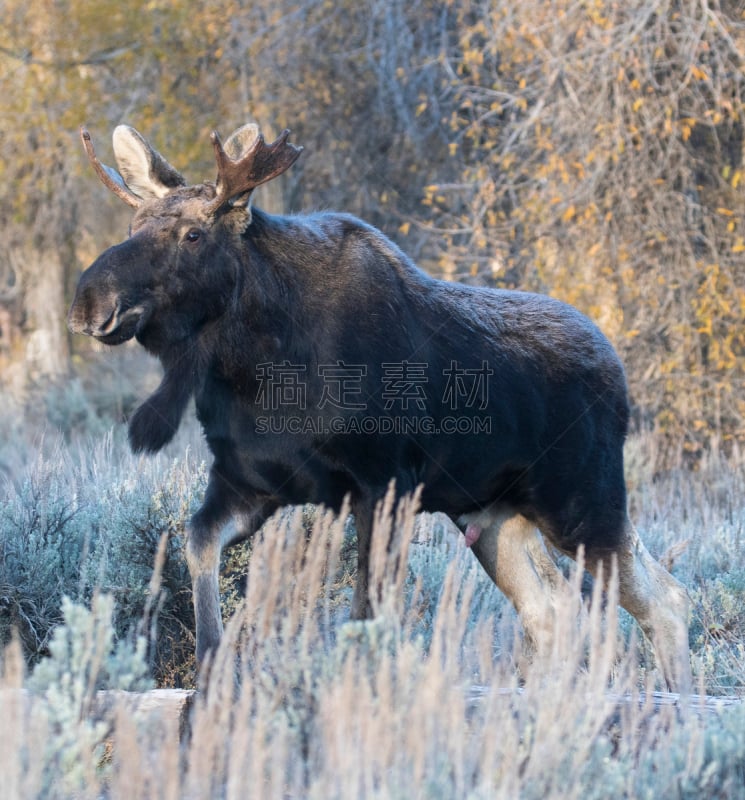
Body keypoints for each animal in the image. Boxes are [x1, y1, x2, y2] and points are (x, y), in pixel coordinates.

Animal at [67, 122, 688, 692]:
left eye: (194, 234)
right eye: (133, 226)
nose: (89, 301)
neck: (258, 368)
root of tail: (617, 367)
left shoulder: (384, 485)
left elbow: (367, 613)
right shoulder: (250, 484)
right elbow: (198, 548)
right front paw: (207, 688)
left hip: (583, 501)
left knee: (662, 598)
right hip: (496, 517)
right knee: (553, 610)